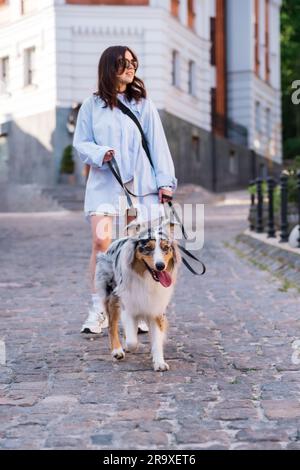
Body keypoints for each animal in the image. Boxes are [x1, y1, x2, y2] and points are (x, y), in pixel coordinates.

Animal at [95, 218, 182, 372]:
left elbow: (157, 338)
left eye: (166, 248)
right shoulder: (128, 307)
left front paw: (159, 362)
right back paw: (117, 350)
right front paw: (129, 347)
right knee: (112, 325)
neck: (147, 279)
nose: (160, 266)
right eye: (148, 248)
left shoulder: (156, 308)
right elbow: (132, 341)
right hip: (112, 296)